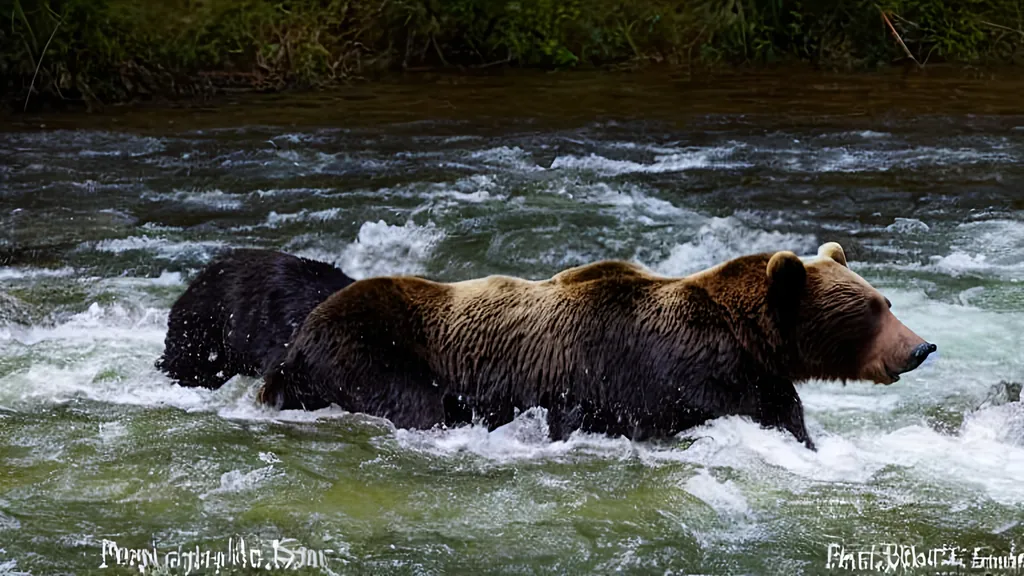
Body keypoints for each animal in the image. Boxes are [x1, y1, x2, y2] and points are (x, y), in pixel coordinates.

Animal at [253, 241, 937, 448]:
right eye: (873, 307)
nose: (922, 347)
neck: (744, 338)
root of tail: (294, 345)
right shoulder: (662, 377)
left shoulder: (754, 380)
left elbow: (787, 419)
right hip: (372, 349)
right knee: (413, 403)